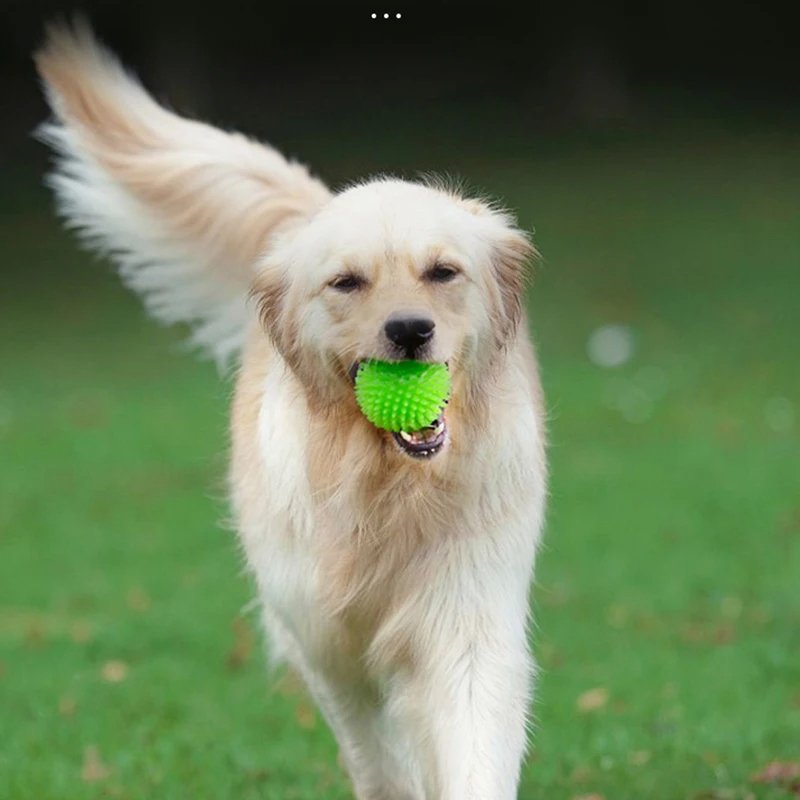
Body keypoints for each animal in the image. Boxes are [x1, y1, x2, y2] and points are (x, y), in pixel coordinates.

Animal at [34, 21, 548, 796]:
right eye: (347, 282)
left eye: (442, 272)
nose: (409, 330)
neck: (384, 487)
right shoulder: (326, 642)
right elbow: (376, 751)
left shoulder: (467, 615)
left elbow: (469, 747)